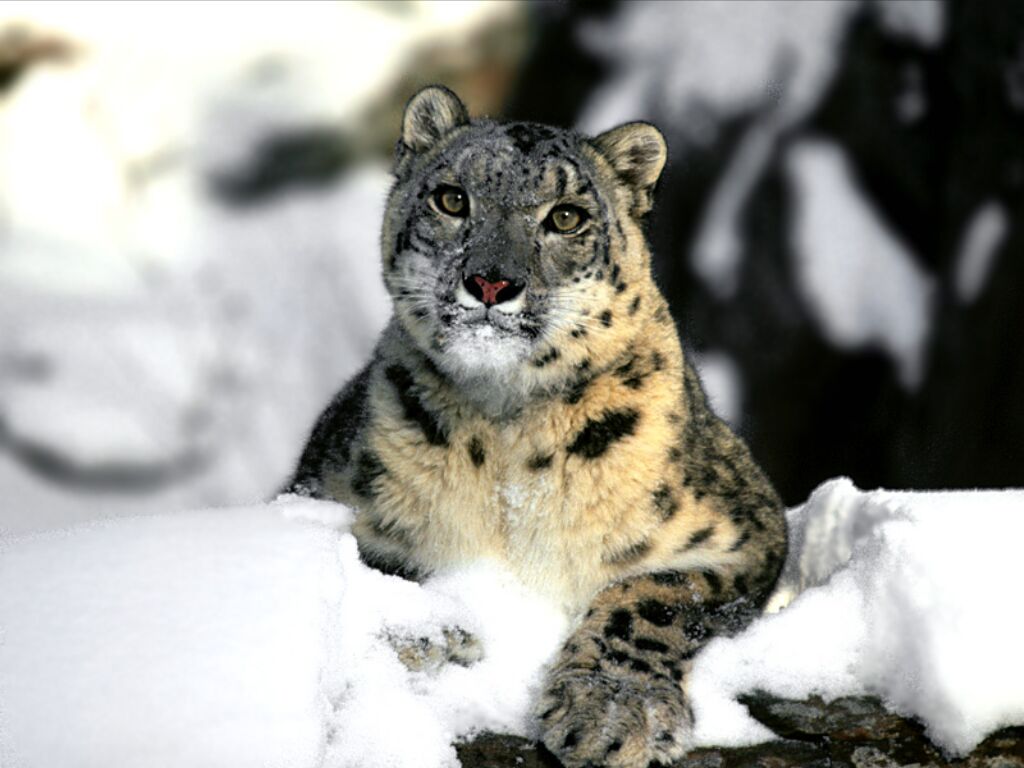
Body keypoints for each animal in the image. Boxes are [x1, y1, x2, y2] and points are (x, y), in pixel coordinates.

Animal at [287, 85, 787, 768]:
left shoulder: (742, 528)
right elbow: (373, 567)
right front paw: (433, 632)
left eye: (567, 216)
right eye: (452, 198)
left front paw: (612, 710)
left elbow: (656, 595)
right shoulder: (325, 495)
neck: (505, 439)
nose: (491, 282)